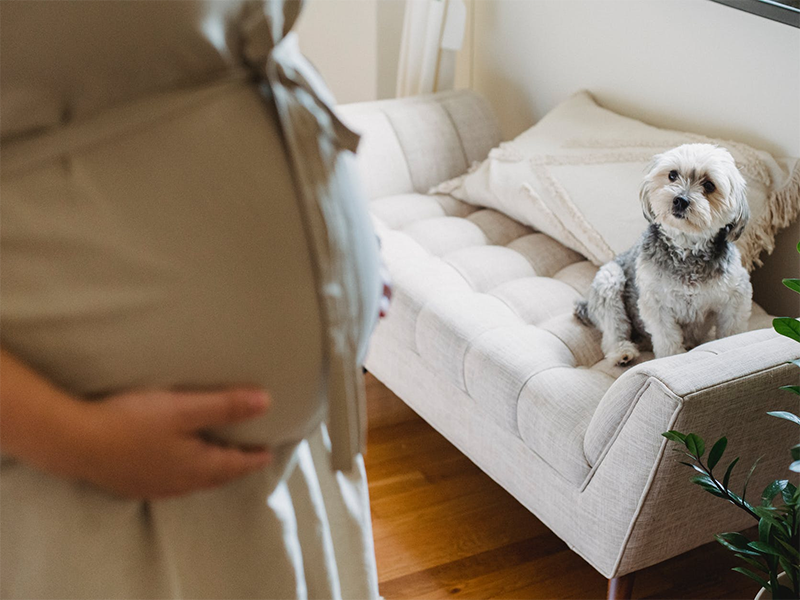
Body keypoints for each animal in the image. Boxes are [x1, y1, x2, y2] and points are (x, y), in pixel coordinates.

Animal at [576, 144, 752, 366]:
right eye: (672, 175)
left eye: (709, 185)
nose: (680, 200)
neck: (686, 249)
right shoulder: (656, 303)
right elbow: (667, 338)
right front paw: (671, 359)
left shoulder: (736, 296)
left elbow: (731, 332)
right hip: (609, 279)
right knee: (613, 328)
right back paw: (621, 352)